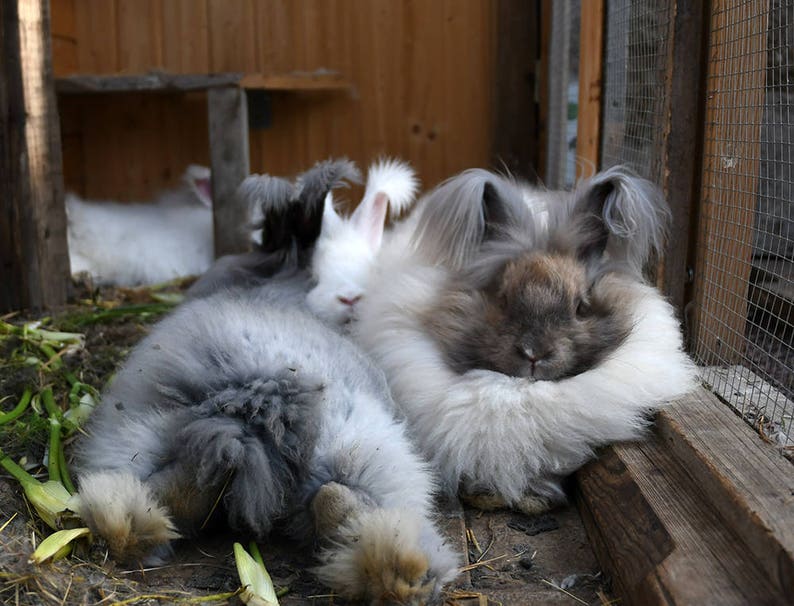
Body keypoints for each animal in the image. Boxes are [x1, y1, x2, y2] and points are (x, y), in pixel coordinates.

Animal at [69, 278, 459, 603]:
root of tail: (262, 387)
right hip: (363, 445)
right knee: (366, 509)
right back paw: (401, 577)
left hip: (139, 429)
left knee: (128, 491)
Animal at [353, 166, 699, 514]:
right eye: (503, 299)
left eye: (580, 306)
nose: (534, 353)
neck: (519, 393)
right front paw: (486, 494)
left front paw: (535, 497)